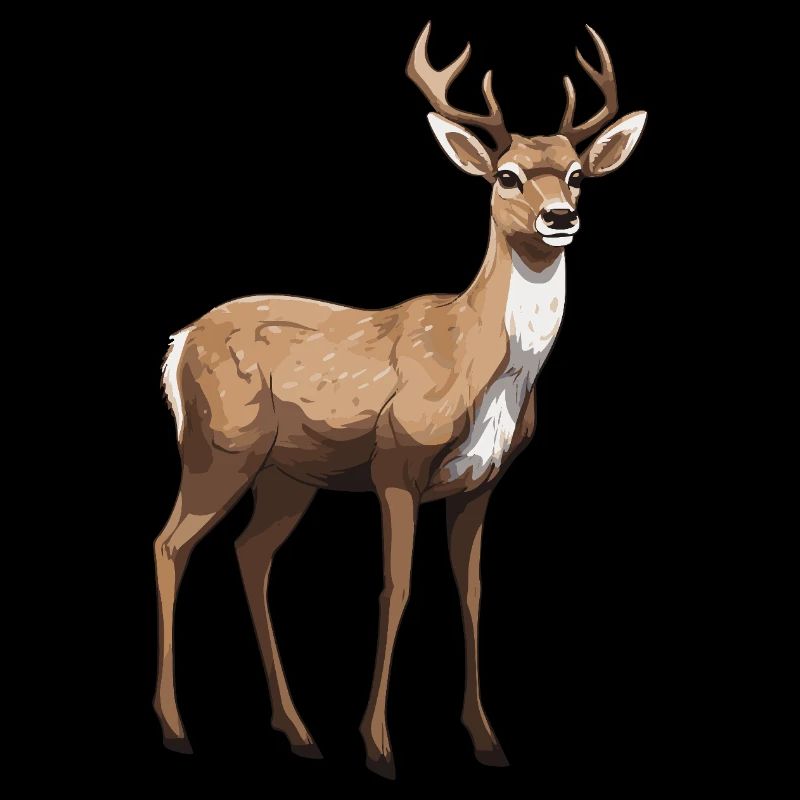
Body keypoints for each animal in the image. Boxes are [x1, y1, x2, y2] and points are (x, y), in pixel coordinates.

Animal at [153, 21, 646, 779]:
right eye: (506, 175)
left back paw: (298, 731)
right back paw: (176, 728)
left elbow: (471, 592)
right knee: (170, 545)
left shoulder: (482, 482)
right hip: (218, 447)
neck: (474, 361)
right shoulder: (397, 463)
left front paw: (486, 740)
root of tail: (178, 344)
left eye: (576, 174)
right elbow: (397, 586)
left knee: (251, 554)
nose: (561, 217)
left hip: (287, 475)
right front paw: (380, 746)